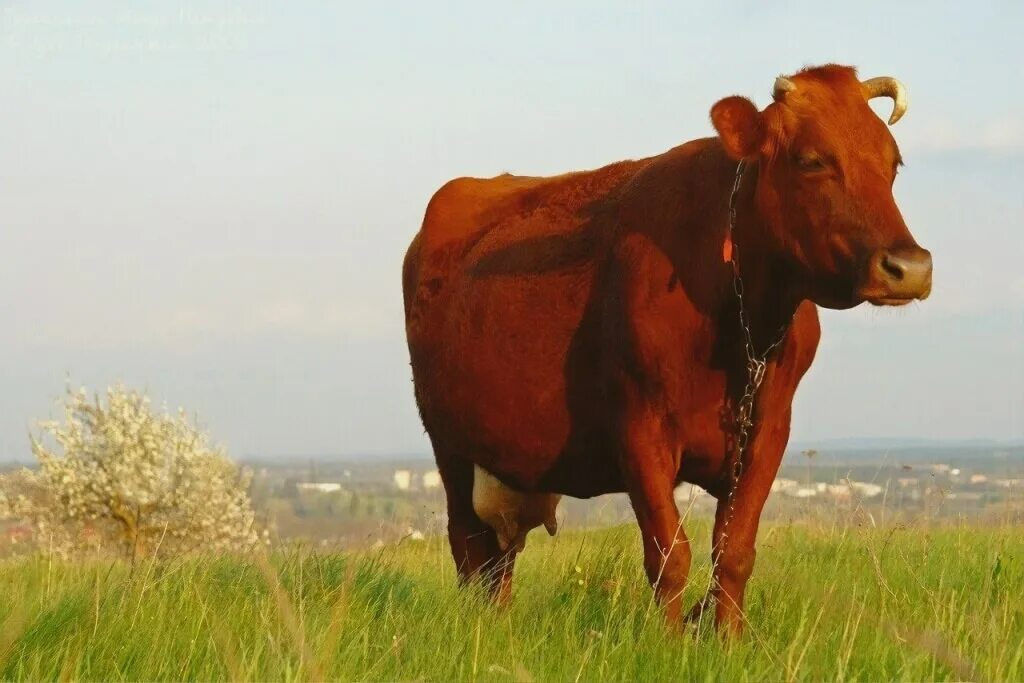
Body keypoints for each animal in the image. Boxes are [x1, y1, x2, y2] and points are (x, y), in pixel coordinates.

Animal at [403, 65, 933, 634]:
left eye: (892, 162)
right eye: (812, 159)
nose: (910, 267)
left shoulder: (768, 431)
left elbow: (734, 552)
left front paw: (727, 640)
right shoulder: (640, 427)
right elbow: (669, 555)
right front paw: (670, 641)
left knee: (500, 560)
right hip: (449, 442)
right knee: (469, 546)